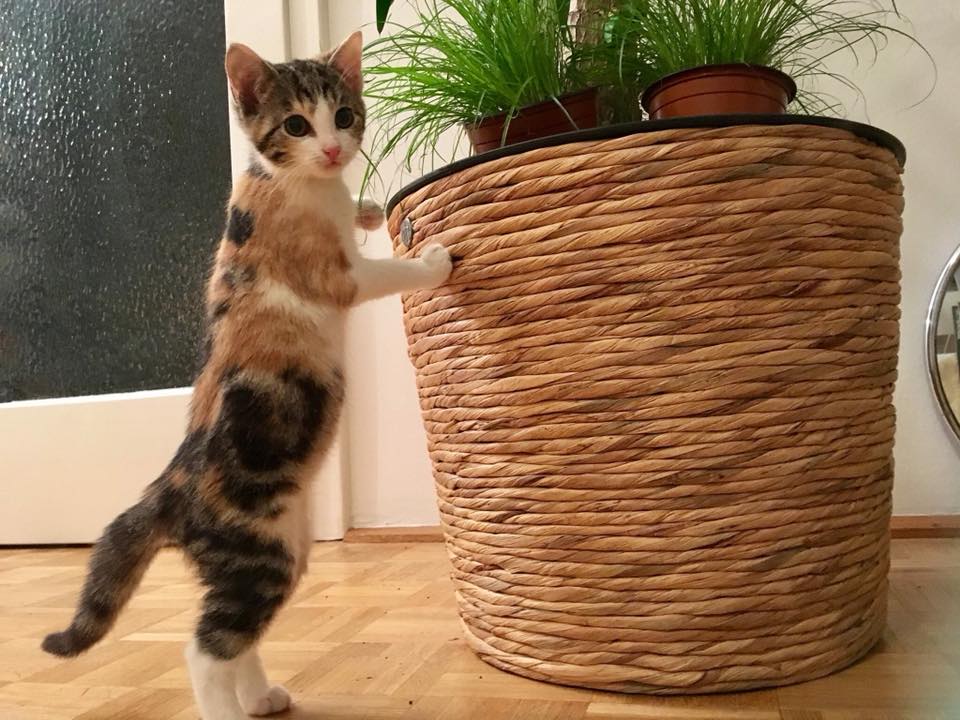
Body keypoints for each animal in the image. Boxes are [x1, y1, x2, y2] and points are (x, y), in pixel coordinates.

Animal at [41, 30, 452, 720]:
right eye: (296, 124)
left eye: (345, 115)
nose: (334, 149)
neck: (289, 181)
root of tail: (171, 483)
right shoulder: (333, 275)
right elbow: (380, 274)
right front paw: (431, 261)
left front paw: (368, 209)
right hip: (258, 556)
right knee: (205, 649)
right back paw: (228, 706)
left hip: (280, 548)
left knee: (235, 638)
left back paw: (260, 695)